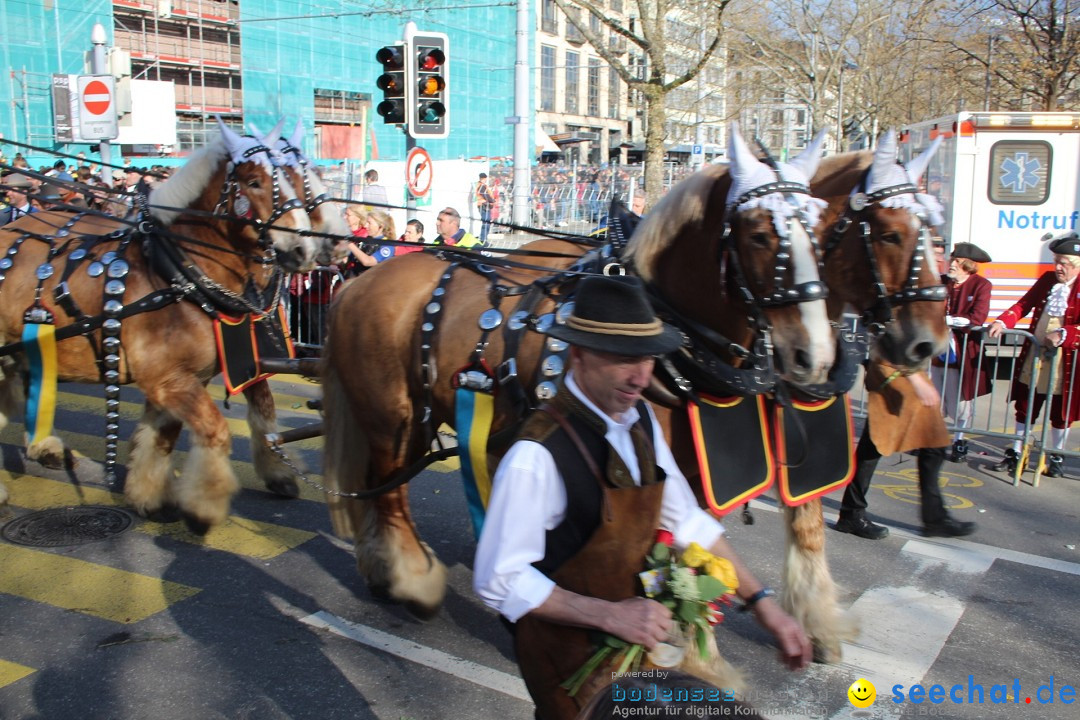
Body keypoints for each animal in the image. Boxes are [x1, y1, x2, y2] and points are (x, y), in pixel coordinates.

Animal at [0, 120, 324, 528]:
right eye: (253, 182)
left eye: (298, 178)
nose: (305, 250)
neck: (176, 274)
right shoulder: (168, 379)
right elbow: (215, 430)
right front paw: (204, 505)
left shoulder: (181, 378)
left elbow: (164, 436)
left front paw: (150, 496)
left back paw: (45, 447)